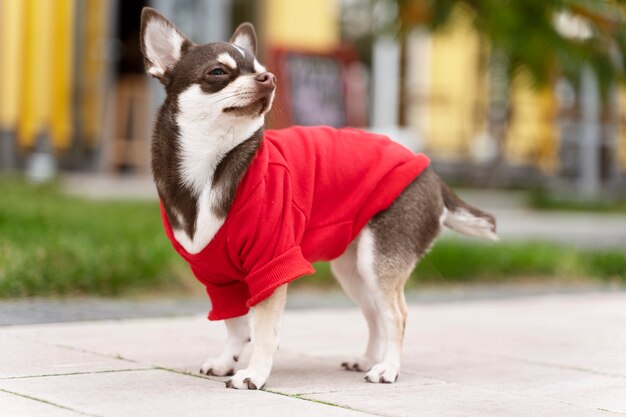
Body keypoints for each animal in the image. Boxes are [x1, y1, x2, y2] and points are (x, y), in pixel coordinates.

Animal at [139, 7, 494, 390]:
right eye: (218, 72)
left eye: (260, 67)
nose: (269, 78)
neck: (212, 164)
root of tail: (432, 174)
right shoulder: (218, 278)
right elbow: (235, 325)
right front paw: (226, 362)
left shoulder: (271, 265)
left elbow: (264, 330)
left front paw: (254, 374)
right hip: (353, 270)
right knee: (374, 314)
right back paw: (367, 359)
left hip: (376, 262)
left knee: (395, 315)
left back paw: (388, 368)